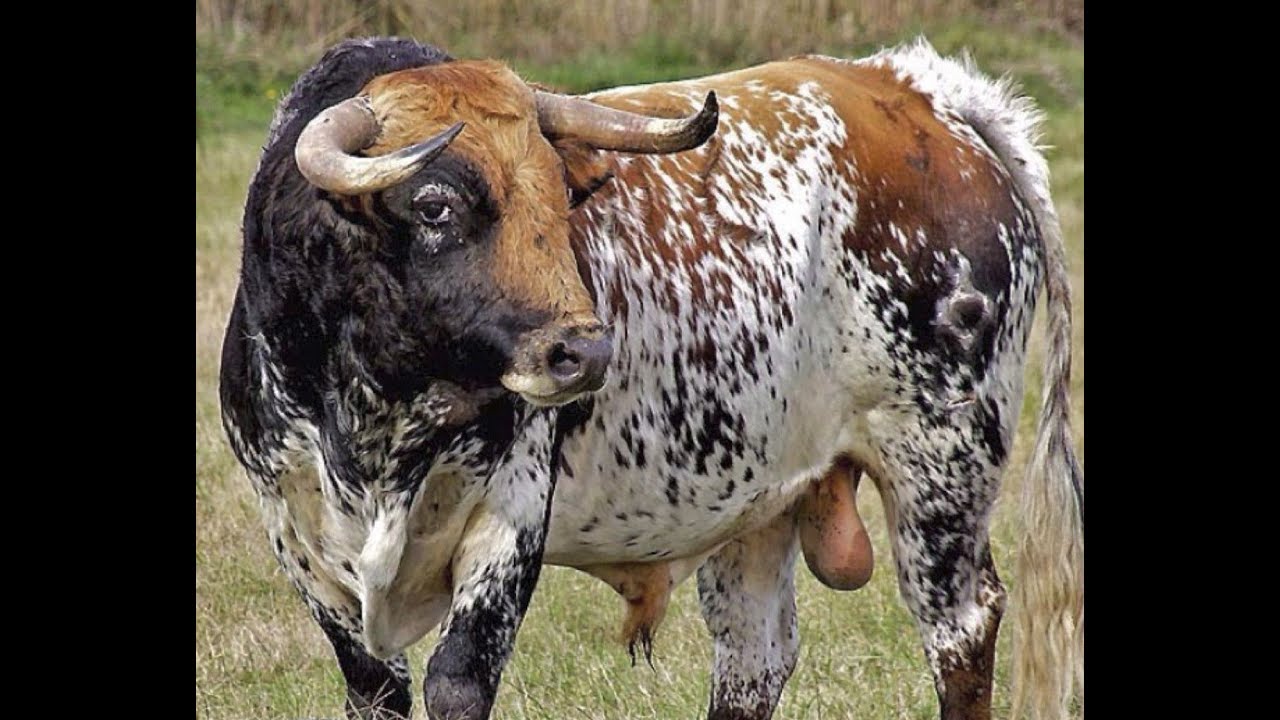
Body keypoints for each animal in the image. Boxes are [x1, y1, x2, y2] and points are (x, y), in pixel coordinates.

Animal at [219, 36, 1083, 720]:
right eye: (434, 206)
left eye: (563, 195)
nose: (582, 353)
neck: (376, 409)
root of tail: (915, 88)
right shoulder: (296, 533)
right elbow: (378, 690)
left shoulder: (511, 516)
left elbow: (457, 683)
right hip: (765, 497)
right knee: (753, 660)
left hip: (941, 468)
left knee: (960, 629)